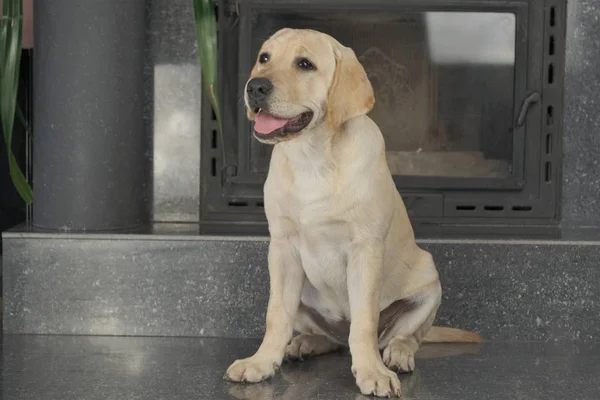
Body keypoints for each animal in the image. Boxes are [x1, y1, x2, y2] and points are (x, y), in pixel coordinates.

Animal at [225, 28, 482, 396]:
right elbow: (276, 317)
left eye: (305, 64)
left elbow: (364, 322)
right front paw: (260, 362)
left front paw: (371, 372)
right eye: (264, 58)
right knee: (327, 336)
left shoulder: (365, 250)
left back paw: (396, 355)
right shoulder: (282, 249)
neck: (313, 158)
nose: (255, 87)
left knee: (403, 336)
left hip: (429, 283)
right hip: (301, 292)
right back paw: (303, 343)